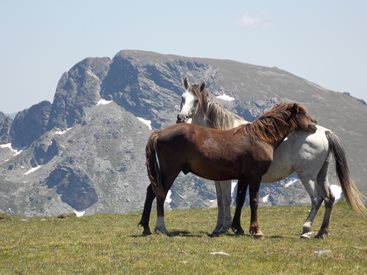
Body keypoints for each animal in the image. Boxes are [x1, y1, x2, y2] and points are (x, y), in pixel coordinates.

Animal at [139, 102, 318, 236]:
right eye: (301, 113)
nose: (314, 124)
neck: (260, 137)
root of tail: (159, 132)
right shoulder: (255, 177)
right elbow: (254, 201)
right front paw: (256, 230)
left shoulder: (244, 178)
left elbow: (239, 201)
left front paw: (238, 228)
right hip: (169, 171)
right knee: (159, 194)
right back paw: (161, 228)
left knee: (150, 192)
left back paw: (146, 227)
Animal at [177, 78, 366, 239]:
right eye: (182, 98)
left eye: (195, 100)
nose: (181, 118)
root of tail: (325, 131)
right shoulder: (228, 178)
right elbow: (225, 200)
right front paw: (222, 227)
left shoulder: (230, 178)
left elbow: (228, 200)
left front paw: (225, 227)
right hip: (321, 174)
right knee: (329, 198)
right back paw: (321, 232)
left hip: (307, 176)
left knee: (316, 199)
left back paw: (306, 229)